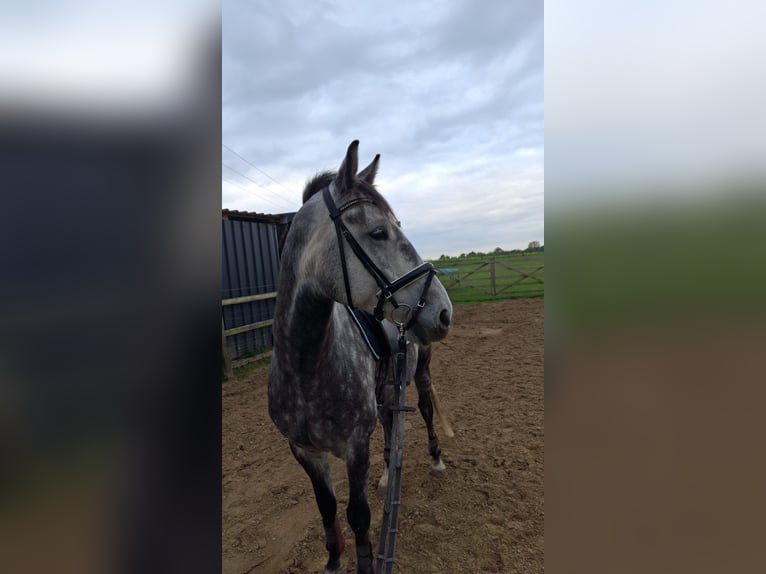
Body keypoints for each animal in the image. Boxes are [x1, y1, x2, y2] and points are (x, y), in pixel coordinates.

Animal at [268, 141, 452, 574]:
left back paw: (435, 460)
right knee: (389, 424)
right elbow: (327, 508)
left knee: (423, 410)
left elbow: (358, 517)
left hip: (421, 372)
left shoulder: (355, 447)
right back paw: (387, 477)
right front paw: (334, 562)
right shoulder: (304, 452)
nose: (443, 311)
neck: (306, 369)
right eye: (379, 232)